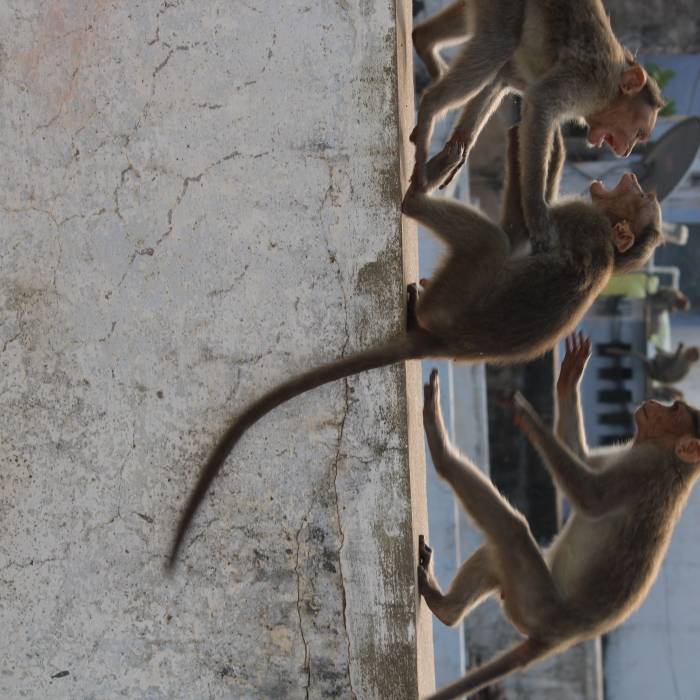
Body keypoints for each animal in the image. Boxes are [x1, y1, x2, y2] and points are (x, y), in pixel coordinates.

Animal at [167, 124, 663, 568]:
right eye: (643, 196)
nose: (633, 178)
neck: (608, 243)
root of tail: (441, 339)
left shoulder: (579, 220)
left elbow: (521, 232)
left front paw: (542, 144)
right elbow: (520, 235)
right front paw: (536, 135)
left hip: (452, 301)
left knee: (489, 243)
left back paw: (416, 198)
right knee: (498, 242)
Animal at [409, 0, 665, 252]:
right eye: (639, 132)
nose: (627, 150)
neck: (614, 87)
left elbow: (502, 75)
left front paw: (461, 143)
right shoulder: (590, 83)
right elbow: (541, 102)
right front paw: (536, 214)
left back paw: (423, 39)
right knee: (500, 42)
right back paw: (430, 106)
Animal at [418, 332, 700, 700]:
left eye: (675, 409)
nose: (654, 402)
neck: (670, 457)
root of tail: (559, 638)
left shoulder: (645, 469)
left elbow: (591, 498)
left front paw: (528, 418)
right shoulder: (621, 454)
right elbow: (581, 457)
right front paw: (568, 381)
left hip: (535, 605)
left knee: (512, 530)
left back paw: (441, 453)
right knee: (499, 551)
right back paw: (448, 609)